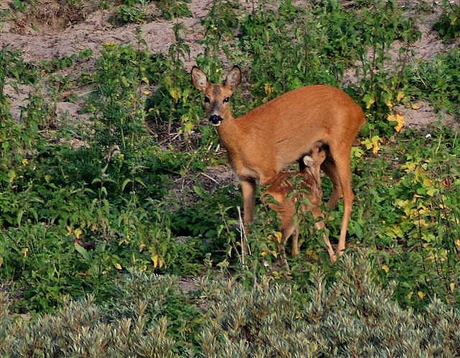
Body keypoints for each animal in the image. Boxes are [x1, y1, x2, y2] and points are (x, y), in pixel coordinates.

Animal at [190, 65, 362, 260]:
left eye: (227, 98)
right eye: (206, 98)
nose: (215, 117)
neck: (243, 140)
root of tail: (359, 111)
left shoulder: (269, 171)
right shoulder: (245, 178)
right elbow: (247, 219)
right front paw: (245, 260)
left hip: (342, 143)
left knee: (348, 195)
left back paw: (339, 251)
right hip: (324, 152)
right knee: (336, 188)